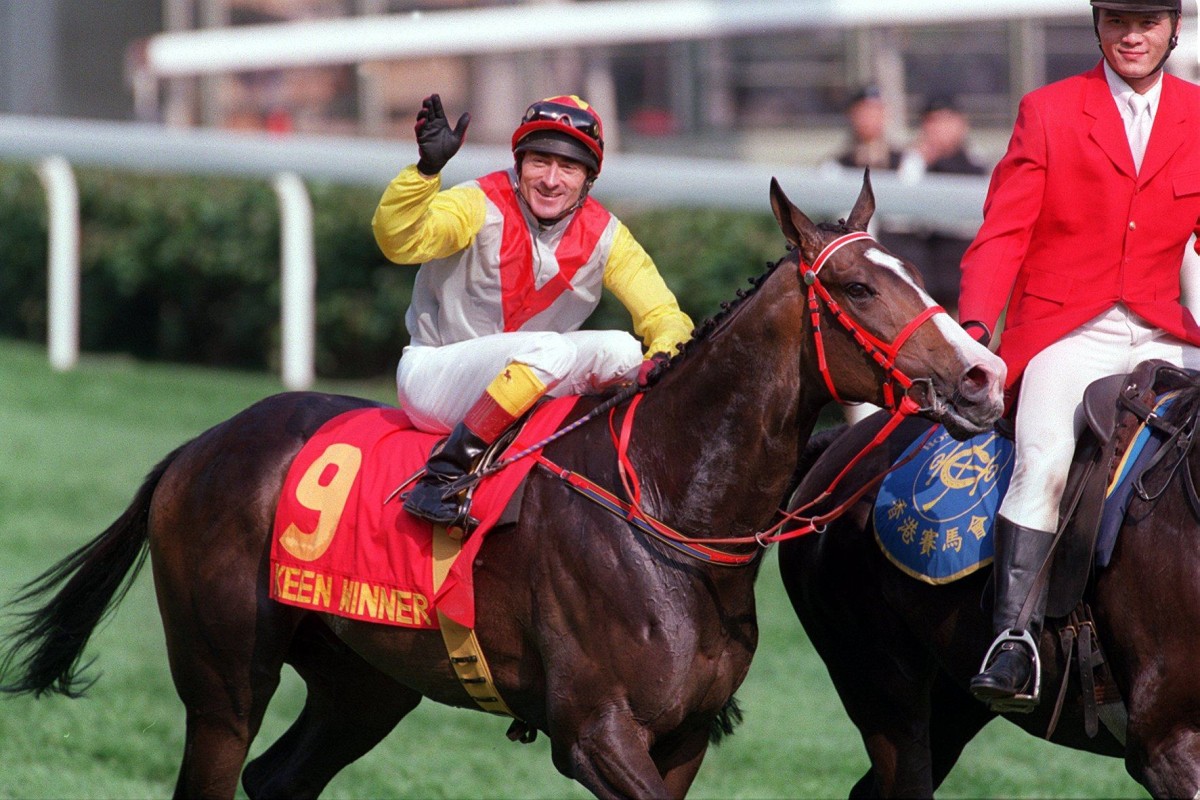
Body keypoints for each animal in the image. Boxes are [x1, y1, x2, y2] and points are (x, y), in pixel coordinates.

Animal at [0, 176, 1003, 800]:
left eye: (919, 272)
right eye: (860, 288)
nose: (983, 375)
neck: (667, 505)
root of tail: (198, 447)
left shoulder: (680, 738)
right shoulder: (594, 732)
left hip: (365, 679)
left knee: (281, 776)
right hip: (223, 682)